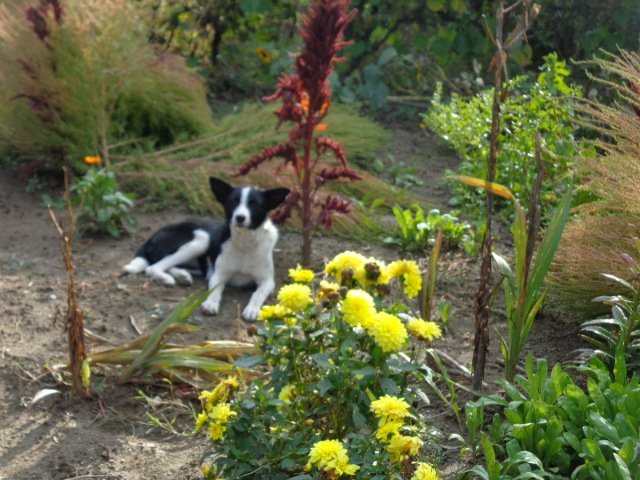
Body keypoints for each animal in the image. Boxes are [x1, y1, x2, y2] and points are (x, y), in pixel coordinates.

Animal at [122, 177, 290, 321]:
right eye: (233, 201)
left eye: (254, 203)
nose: (240, 217)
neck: (245, 243)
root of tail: (152, 236)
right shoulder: (218, 275)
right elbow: (215, 290)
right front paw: (210, 303)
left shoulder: (267, 281)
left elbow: (258, 294)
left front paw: (252, 309)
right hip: (202, 239)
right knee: (153, 267)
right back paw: (168, 278)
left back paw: (182, 275)